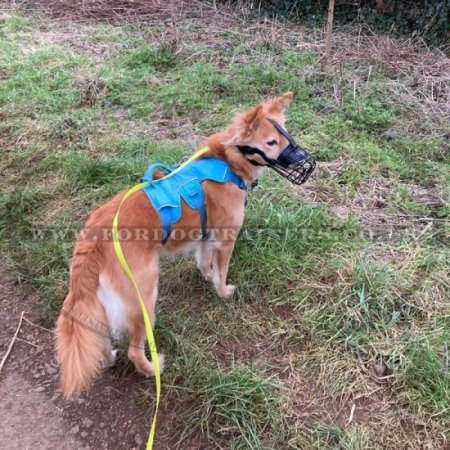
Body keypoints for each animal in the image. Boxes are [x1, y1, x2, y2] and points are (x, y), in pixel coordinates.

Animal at [54, 91, 312, 398]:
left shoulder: (206, 235)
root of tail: (94, 240)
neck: (227, 161)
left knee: (102, 339)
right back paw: (153, 369)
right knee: (134, 350)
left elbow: (204, 261)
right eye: (271, 142)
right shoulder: (226, 239)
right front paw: (223, 292)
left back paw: (108, 359)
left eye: (286, 136)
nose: (304, 160)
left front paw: (207, 276)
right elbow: (222, 271)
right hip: (145, 300)